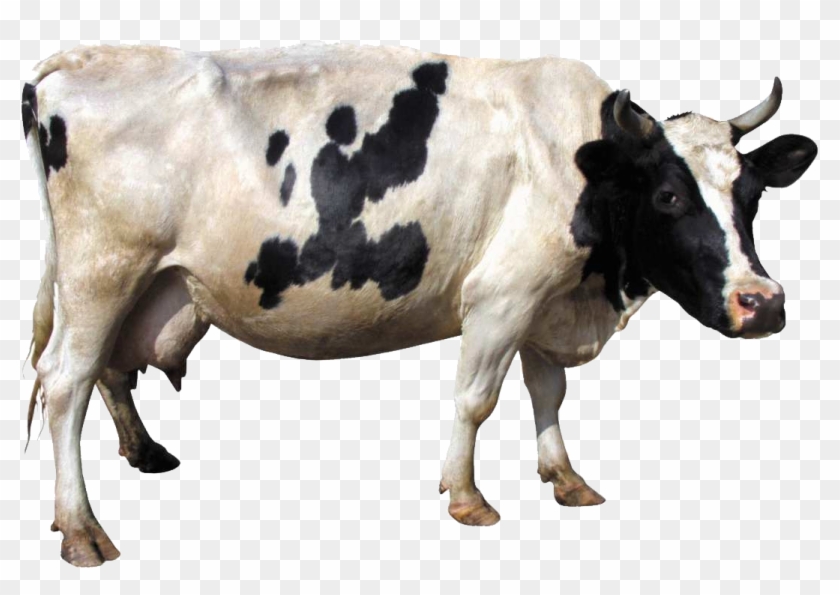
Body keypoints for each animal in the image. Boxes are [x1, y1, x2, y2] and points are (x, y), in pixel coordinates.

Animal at [21, 44, 817, 567]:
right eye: (670, 195)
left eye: (751, 195)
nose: (763, 303)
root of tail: (79, 62)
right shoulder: (502, 295)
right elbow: (477, 399)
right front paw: (466, 494)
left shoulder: (546, 301)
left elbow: (547, 392)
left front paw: (565, 477)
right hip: (102, 271)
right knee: (66, 382)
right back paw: (81, 527)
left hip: (143, 284)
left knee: (109, 372)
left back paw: (143, 452)